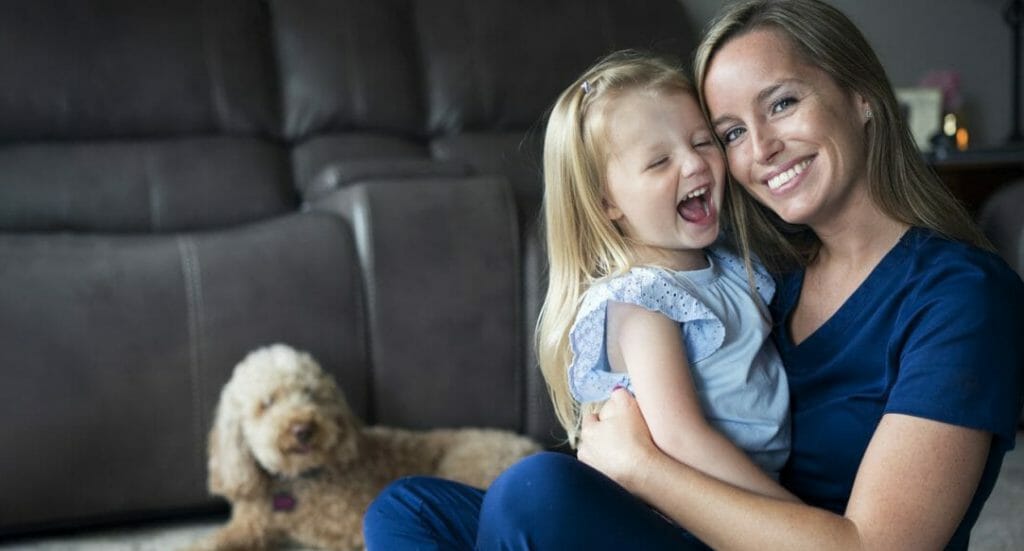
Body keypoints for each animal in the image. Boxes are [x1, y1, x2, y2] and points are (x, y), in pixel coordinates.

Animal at [191, 340, 544, 544]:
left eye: (311, 394)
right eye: (267, 403)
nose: (303, 428)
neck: (298, 484)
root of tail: (531, 445)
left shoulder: (349, 528)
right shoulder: (249, 525)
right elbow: (213, 542)